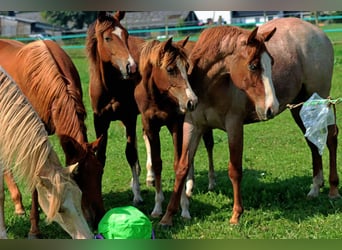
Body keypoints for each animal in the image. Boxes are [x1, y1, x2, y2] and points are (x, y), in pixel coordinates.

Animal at [85, 10, 147, 204]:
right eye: (107, 38)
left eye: (126, 35)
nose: (132, 67)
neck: (110, 87)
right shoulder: (100, 121)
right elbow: (101, 156)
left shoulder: (129, 117)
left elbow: (130, 153)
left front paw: (137, 195)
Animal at [134, 37, 198, 219]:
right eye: (170, 69)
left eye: (186, 68)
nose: (192, 101)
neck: (158, 99)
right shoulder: (150, 125)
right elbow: (157, 163)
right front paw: (157, 207)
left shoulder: (176, 124)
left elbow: (179, 163)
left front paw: (184, 208)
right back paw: (150, 177)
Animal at [163, 16, 340, 226]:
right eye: (253, 66)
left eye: (272, 62)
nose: (271, 107)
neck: (209, 86)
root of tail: (319, 33)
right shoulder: (193, 126)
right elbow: (182, 167)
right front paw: (167, 216)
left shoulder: (234, 126)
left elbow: (235, 170)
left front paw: (236, 214)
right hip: (300, 107)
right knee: (312, 141)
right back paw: (315, 187)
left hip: (321, 99)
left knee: (331, 138)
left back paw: (333, 189)